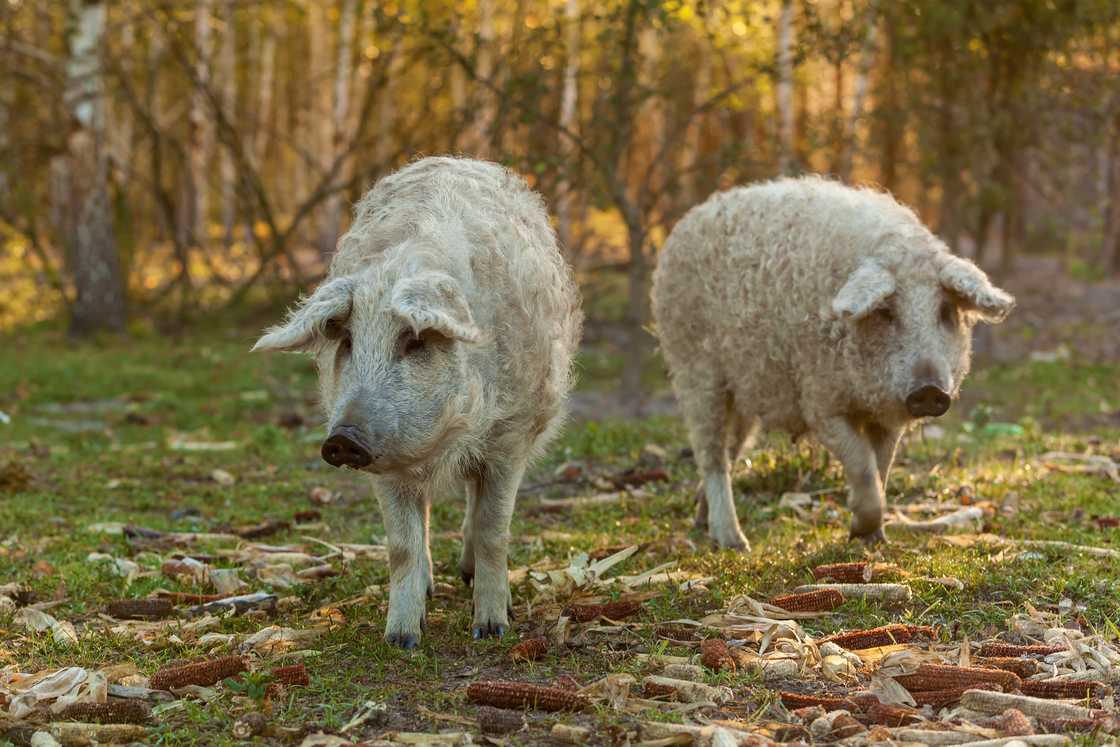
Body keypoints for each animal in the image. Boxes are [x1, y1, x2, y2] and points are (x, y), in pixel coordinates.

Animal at [253, 157, 582, 647]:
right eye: (347, 341)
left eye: (414, 341)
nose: (342, 439)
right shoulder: (387, 464)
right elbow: (401, 546)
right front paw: (402, 639)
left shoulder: (511, 437)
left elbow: (493, 529)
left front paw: (491, 630)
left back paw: (468, 578)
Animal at [650, 176, 1014, 548]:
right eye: (886, 311)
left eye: (944, 311)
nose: (929, 390)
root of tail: (687, 222)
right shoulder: (821, 402)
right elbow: (863, 468)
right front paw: (862, 533)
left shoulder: (888, 418)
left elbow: (881, 469)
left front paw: (874, 539)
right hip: (695, 372)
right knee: (711, 456)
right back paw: (735, 543)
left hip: (741, 393)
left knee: (729, 451)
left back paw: (702, 522)